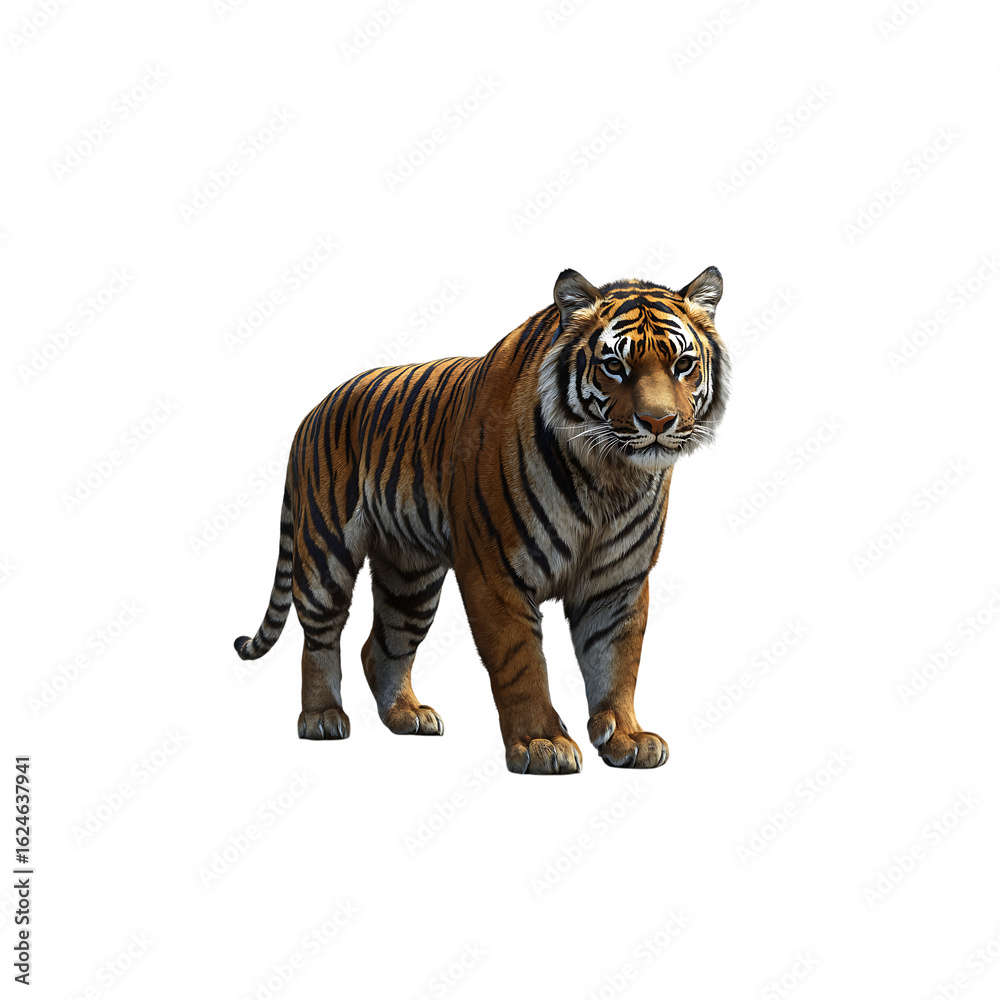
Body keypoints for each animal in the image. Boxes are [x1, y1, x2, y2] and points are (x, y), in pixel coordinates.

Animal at [234, 266, 729, 774]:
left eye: (683, 364)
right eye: (614, 366)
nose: (659, 422)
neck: (608, 477)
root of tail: (314, 410)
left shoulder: (618, 580)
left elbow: (617, 661)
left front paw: (627, 738)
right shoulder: (495, 571)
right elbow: (521, 659)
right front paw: (540, 743)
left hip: (410, 579)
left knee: (382, 646)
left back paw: (407, 715)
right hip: (325, 554)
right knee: (318, 636)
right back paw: (321, 717)